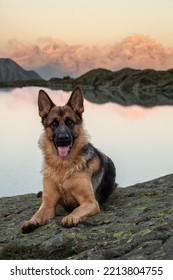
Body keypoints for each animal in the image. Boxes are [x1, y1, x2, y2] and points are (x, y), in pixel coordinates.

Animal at [21, 86, 116, 233]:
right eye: (54, 124)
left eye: (69, 122)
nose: (63, 138)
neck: (62, 165)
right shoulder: (48, 204)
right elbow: (38, 214)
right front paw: (31, 221)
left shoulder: (90, 202)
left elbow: (77, 209)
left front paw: (71, 217)